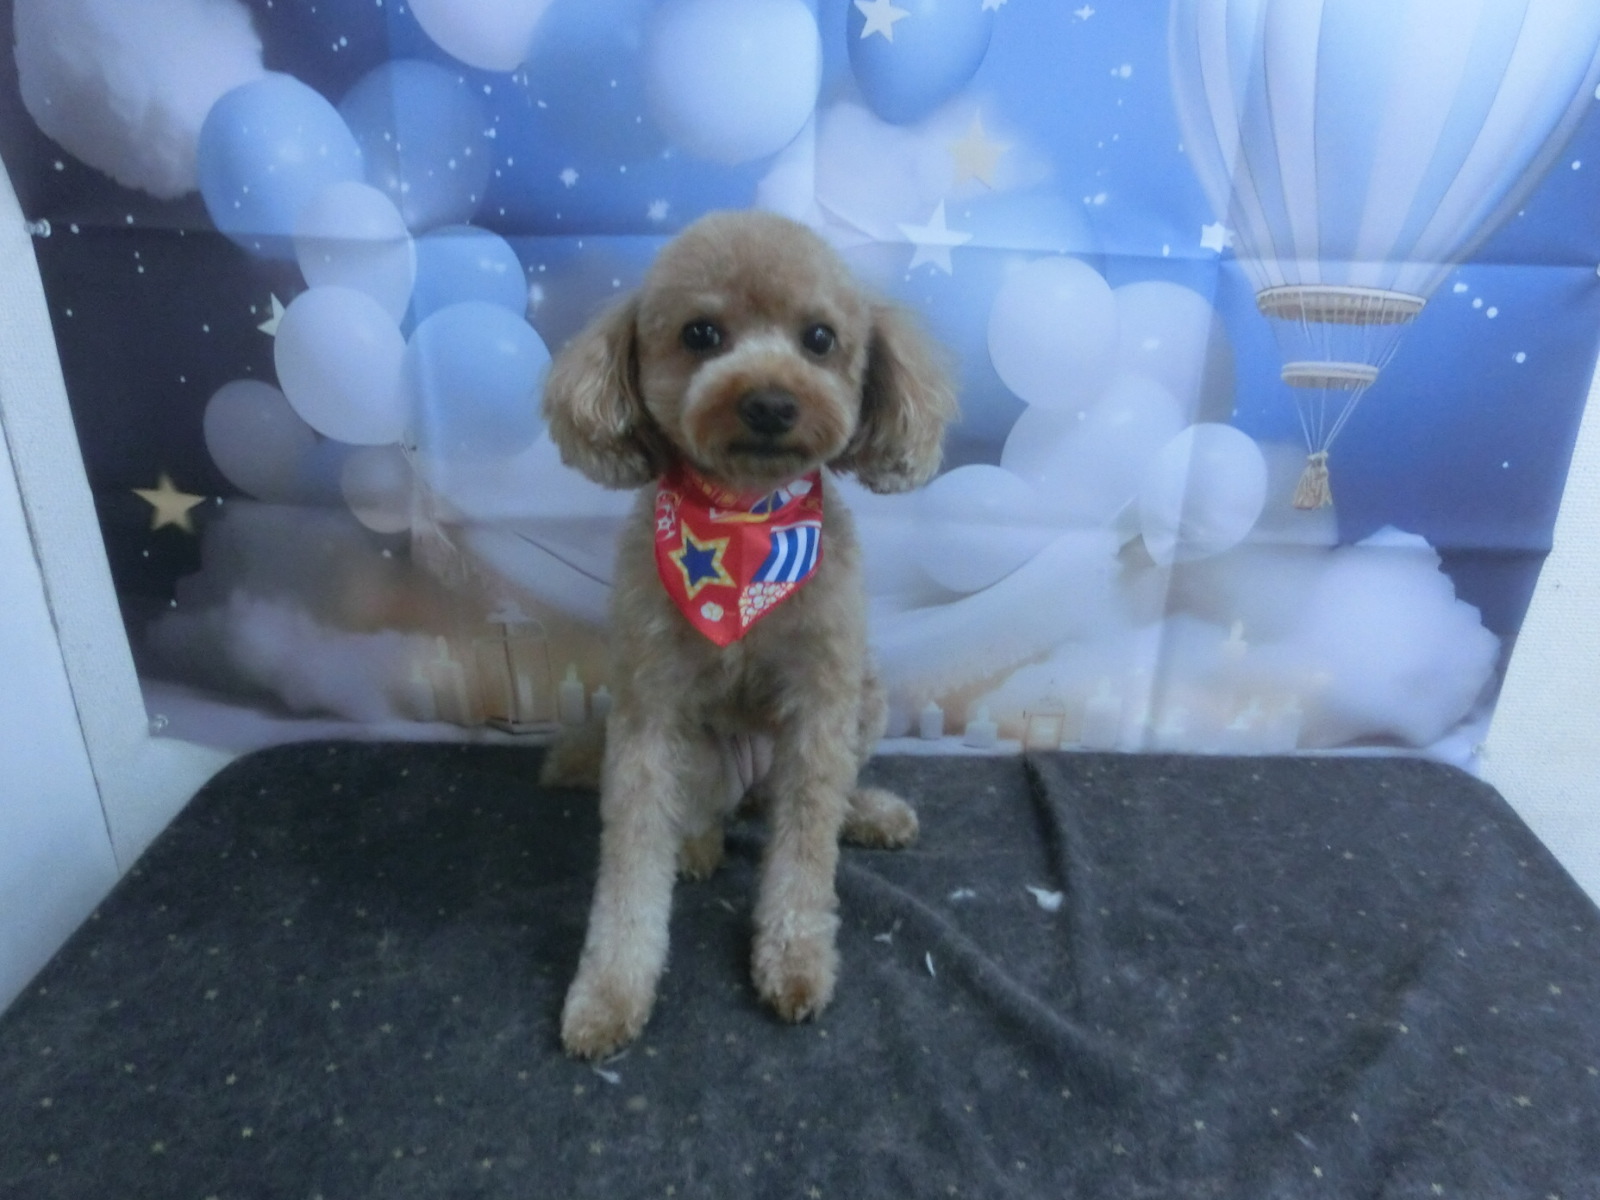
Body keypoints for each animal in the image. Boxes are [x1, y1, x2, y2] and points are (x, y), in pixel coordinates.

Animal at [541, 209, 955, 1059]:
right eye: (701, 333)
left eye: (821, 339)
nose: (768, 402)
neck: (742, 522)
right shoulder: (647, 713)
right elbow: (632, 861)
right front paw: (609, 992)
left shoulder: (824, 705)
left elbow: (806, 854)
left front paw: (794, 963)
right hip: (697, 753)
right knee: (706, 813)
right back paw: (696, 847)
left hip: (863, 702)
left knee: (806, 802)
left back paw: (867, 814)